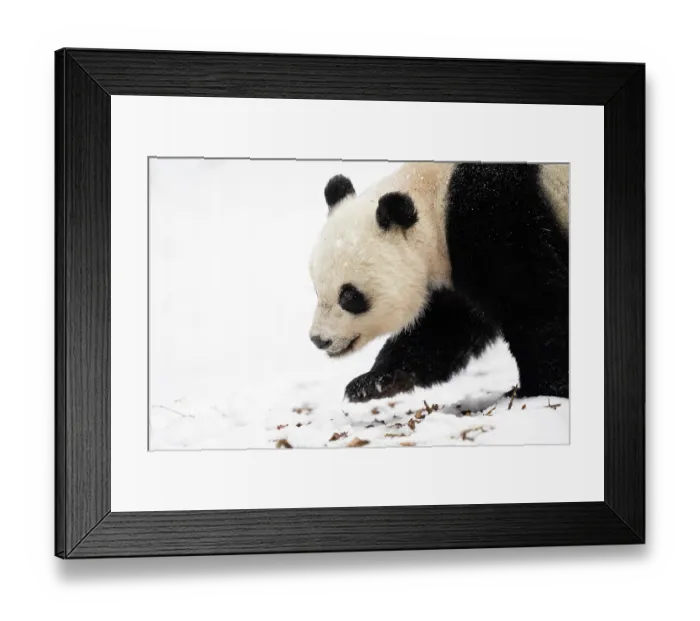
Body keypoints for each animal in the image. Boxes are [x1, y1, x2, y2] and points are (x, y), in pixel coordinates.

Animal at [309, 162, 569, 403]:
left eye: (349, 296)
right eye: (317, 290)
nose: (319, 340)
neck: (438, 201)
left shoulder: (501, 220)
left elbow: (534, 304)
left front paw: (540, 389)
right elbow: (446, 327)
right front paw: (371, 382)